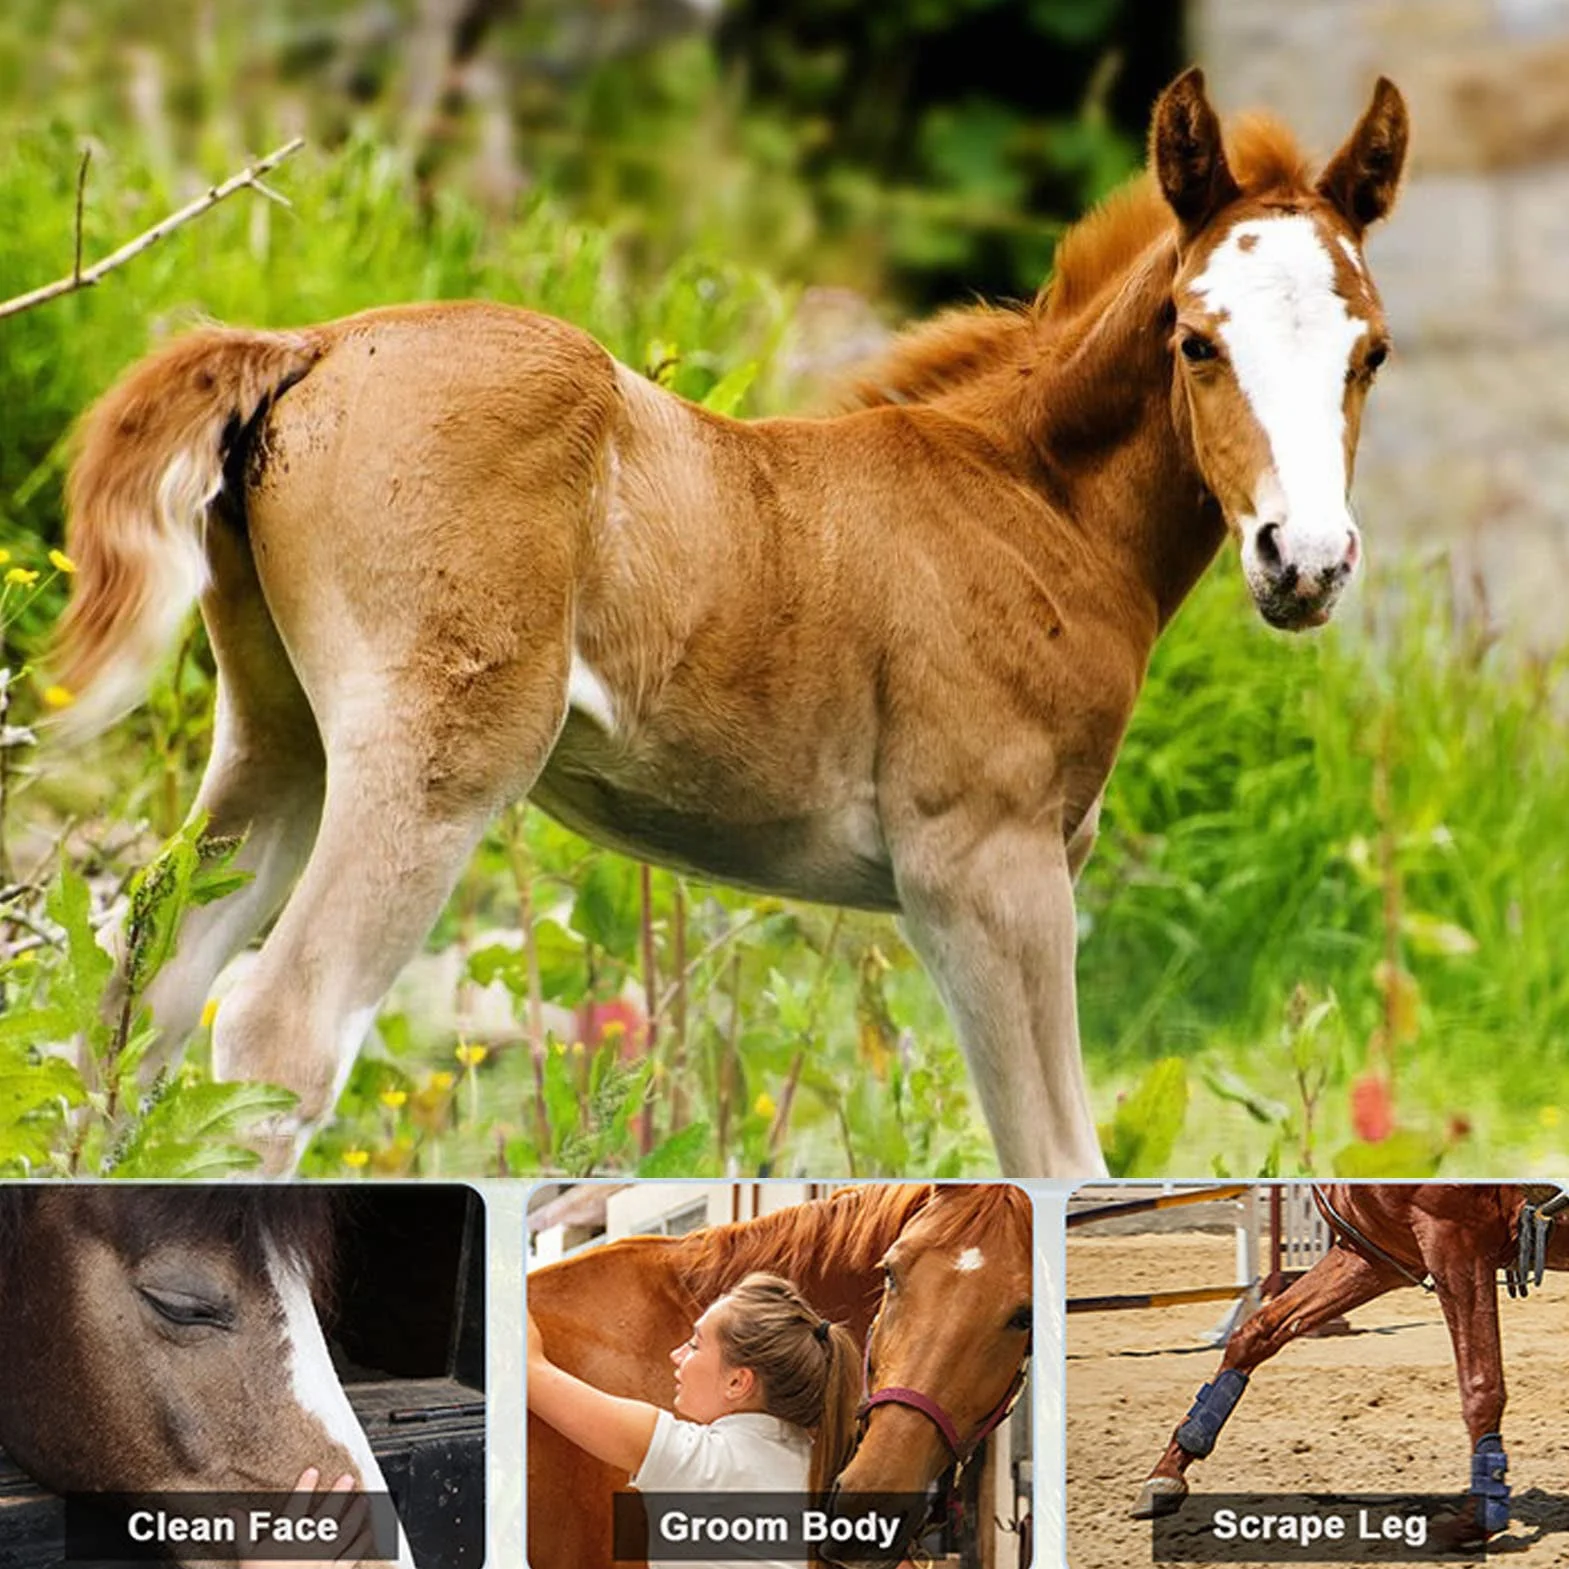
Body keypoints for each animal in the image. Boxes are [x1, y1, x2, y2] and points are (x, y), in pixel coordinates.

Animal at [51, 66, 1408, 1177]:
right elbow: (1057, 1158)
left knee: (138, 1005)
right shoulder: (983, 868)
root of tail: (317, 344)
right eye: (1197, 340)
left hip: (279, 735)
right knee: (275, 1032)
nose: (1305, 562)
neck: (1031, 499)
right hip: (435, 759)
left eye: (1372, 354)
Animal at [1131, 1183, 1569, 1543]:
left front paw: (1475, 1520)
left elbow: (1481, 1384)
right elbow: (1256, 1334)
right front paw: (1169, 1470)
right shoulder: (1375, 1257)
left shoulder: (1455, 1244)